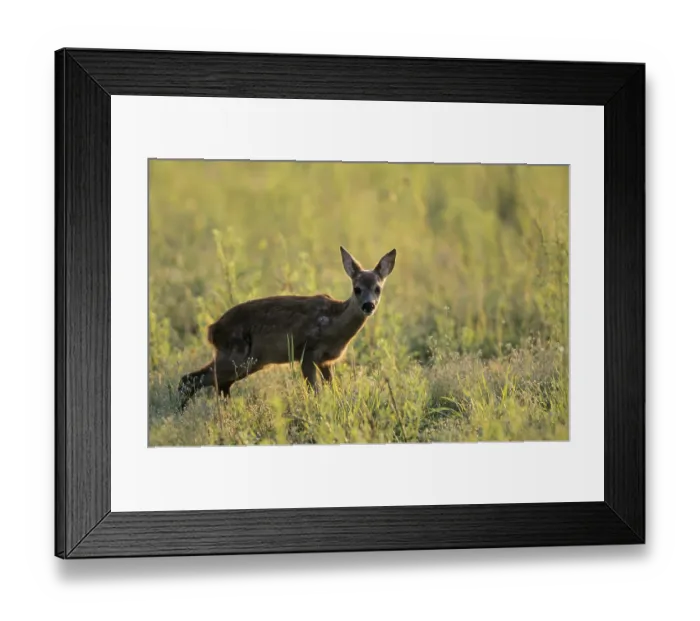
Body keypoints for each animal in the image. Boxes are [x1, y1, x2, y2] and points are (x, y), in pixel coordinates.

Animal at [177, 246, 396, 410]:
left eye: (378, 288)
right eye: (357, 288)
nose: (368, 305)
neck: (333, 324)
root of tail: (212, 330)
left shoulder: (326, 361)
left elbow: (334, 389)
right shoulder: (307, 353)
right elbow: (315, 392)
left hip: (247, 362)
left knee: (218, 384)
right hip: (237, 355)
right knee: (191, 378)